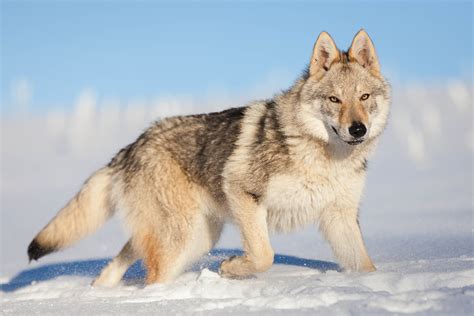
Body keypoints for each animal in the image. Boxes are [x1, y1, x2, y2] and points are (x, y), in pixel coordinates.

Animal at [26, 30, 388, 286]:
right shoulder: (244, 192)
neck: (326, 157)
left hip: (196, 237)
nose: (358, 129)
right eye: (334, 99)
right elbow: (264, 256)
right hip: (184, 236)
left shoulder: (340, 217)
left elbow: (366, 266)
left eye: (364, 97)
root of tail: (133, 144)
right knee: (151, 275)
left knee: (125, 258)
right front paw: (231, 269)